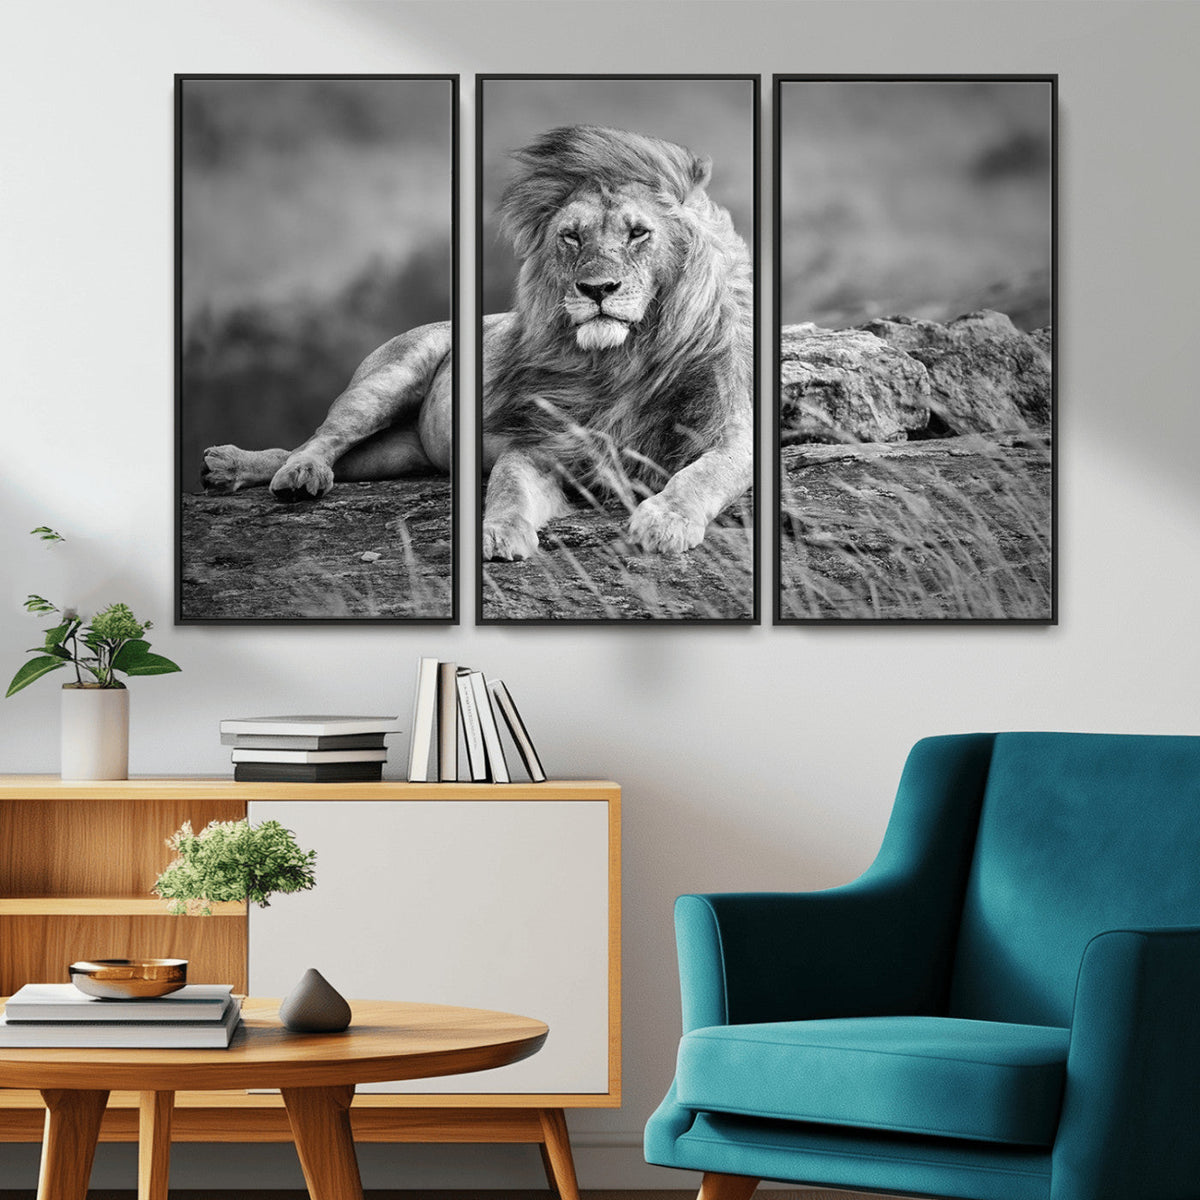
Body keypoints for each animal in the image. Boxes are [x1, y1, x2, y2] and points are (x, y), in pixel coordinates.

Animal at [201, 124, 754, 560]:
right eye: (571, 237)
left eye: (639, 233)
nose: (597, 289)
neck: (623, 360)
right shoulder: (540, 443)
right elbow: (507, 488)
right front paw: (495, 534)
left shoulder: (732, 432)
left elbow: (704, 473)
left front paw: (664, 520)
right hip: (387, 379)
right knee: (320, 438)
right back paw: (284, 472)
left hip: (398, 453)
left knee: (329, 453)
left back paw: (233, 469)